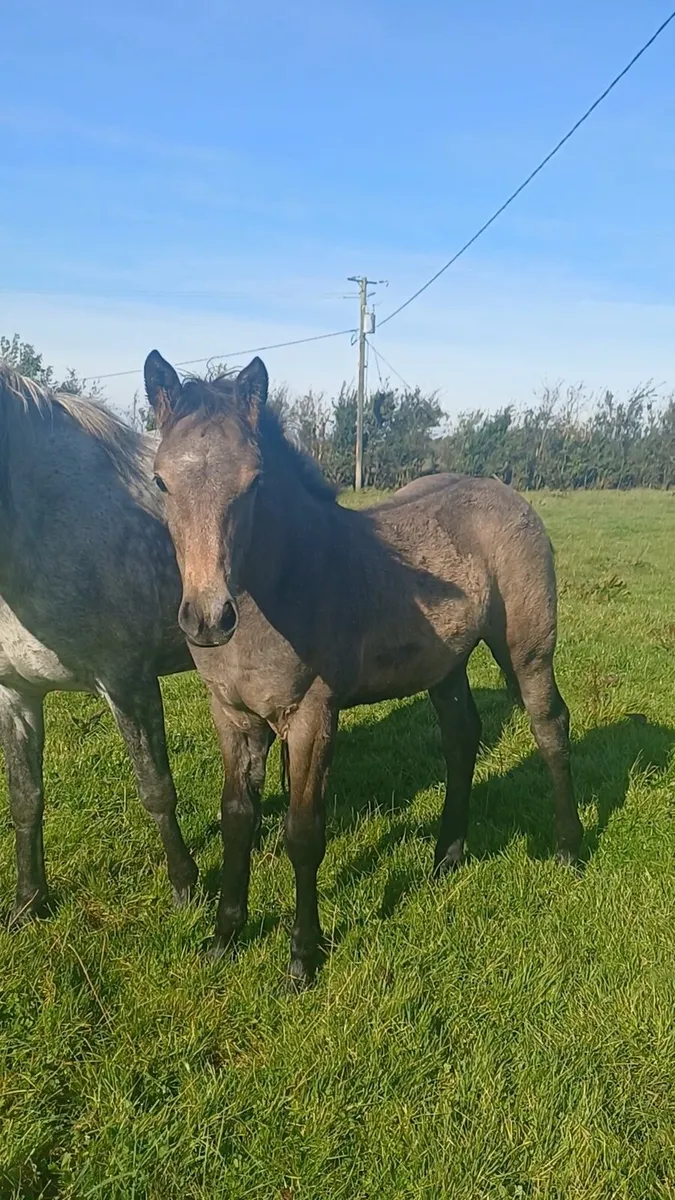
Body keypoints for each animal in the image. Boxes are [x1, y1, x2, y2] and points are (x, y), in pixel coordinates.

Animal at [0, 364, 198, 926]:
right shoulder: (15, 695)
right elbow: (25, 798)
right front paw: (28, 901)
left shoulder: (129, 682)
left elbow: (156, 788)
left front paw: (186, 888)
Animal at [144, 350, 584, 989]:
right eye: (161, 481)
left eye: (254, 481)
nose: (206, 618)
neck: (282, 587)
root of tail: (502, 491)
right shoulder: (232, 716)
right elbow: (237, 820)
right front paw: (223, 938)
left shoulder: (313, 717)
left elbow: (304, 833)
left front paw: (303, 958)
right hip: (444, 664)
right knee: (461, 737)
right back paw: (447, 855)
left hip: (526, 649)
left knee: (550, 726)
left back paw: (569, 848)